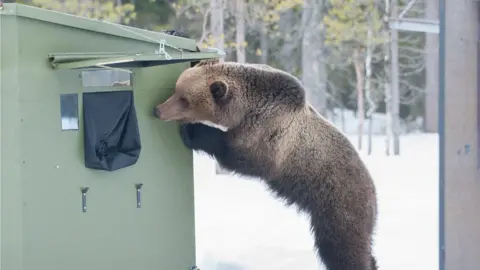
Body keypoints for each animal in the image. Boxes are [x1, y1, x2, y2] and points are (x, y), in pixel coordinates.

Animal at [154, 59, 378, 270]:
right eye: (176, 89)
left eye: (185, 99)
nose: (158, 110)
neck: (249, 107)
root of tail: (373, 194)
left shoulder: (269, 137)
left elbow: (242, 157)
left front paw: (193, 132)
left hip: (337, 204)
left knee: (341, 248)